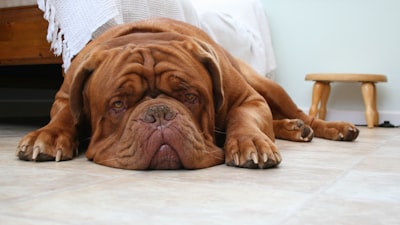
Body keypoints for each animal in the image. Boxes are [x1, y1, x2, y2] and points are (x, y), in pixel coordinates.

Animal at [15, 18, 360, 169]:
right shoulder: (64, 97)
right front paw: (47, 136)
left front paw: (249, 143)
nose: (159, 114)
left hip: (267, 87)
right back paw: (292, 129)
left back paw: (332, 128)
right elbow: (63, 116)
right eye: (118, 104)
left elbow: (244, 120)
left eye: (191, 98)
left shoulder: (248, 99)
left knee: (305, 114)